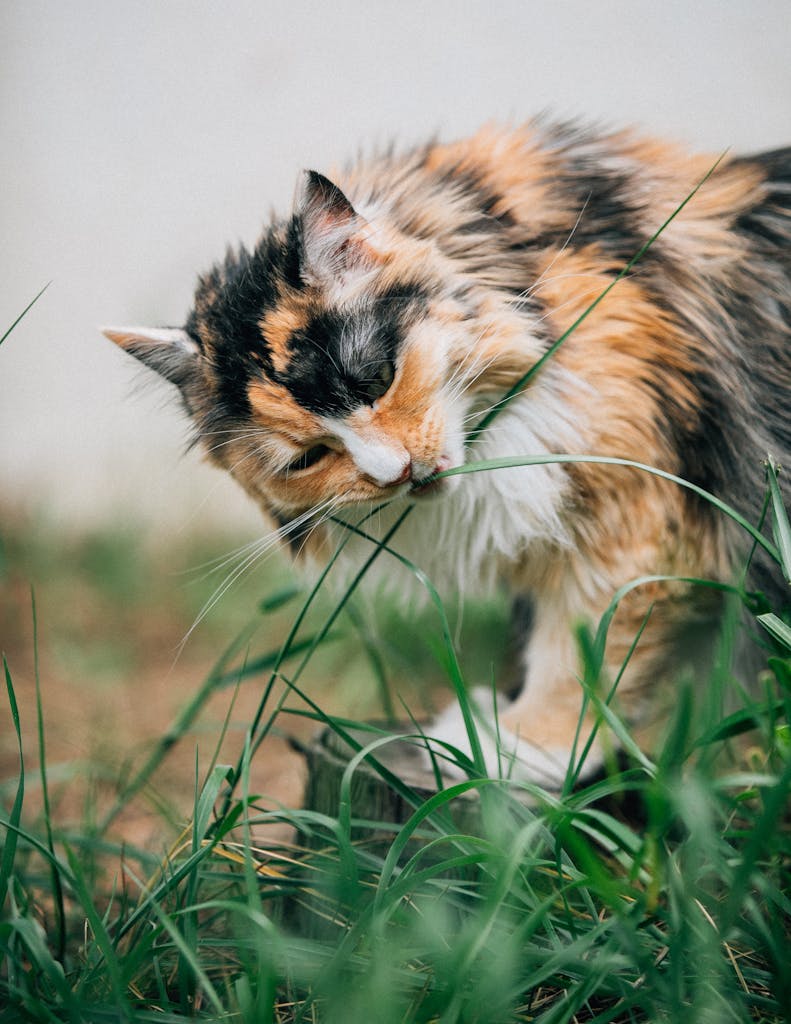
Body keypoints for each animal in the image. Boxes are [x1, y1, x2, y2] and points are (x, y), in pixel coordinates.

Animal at [105, 119, 790, 786]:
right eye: (306, 460)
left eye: (376, 379)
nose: (396, 472)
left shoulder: (638, 520)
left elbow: (582, 652)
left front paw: (519, 748)